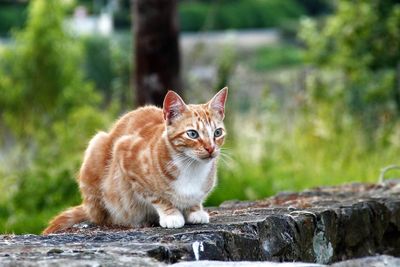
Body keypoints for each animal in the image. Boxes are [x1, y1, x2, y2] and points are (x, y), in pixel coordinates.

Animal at [43, 87, 228, 234]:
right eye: (192, 134)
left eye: (217, 133)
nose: (211, 148)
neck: (191, 167)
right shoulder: (125, 155)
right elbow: (157, 197)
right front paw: (171, 214)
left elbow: (195, 200)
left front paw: (195, 210)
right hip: (97, 146)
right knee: (104, 216)